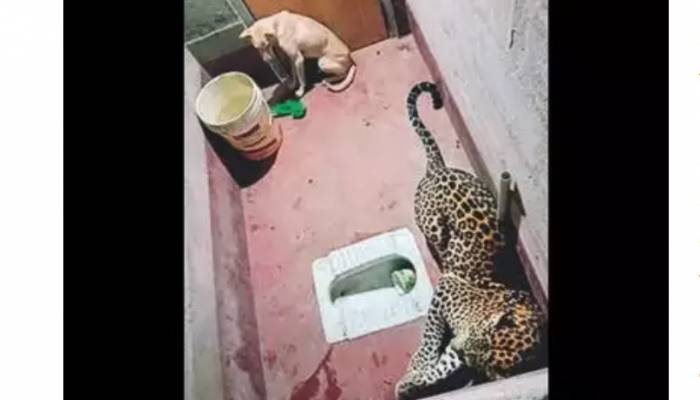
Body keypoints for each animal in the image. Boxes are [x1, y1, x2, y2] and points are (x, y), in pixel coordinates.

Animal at [395, 82, 546, 400]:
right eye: (479, 333)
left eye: (475, 355)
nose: (458, 345)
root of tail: (438, 169)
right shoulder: (445, 290)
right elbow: (430, 339)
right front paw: (416, 366)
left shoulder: (457, 349)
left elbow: (440, 368)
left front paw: (410, 384)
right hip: (433, 224)